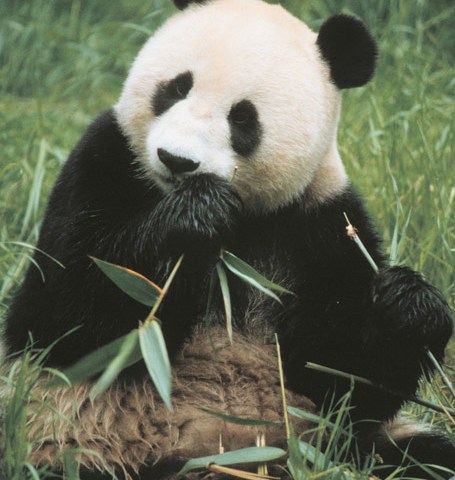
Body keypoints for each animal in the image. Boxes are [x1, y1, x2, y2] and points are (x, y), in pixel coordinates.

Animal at [1, 0, 454, 478]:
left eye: (242, 118)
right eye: (176, 88)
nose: (175, 160)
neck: (248, 216)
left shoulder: (320, 223)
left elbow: (347, 382)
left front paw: (410, 304)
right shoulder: (102, 161)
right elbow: (62, 316)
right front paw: (197, 216)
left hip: (334, 447)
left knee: (419, 456)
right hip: (77, 443)